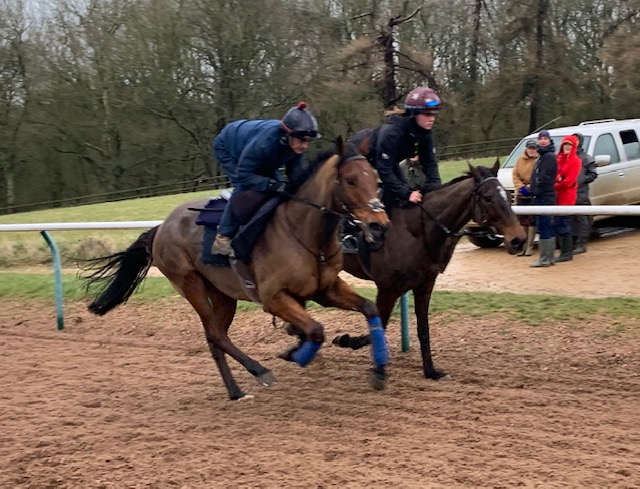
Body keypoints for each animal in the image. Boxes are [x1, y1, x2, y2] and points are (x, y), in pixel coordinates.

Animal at [80, 138, 390, 400]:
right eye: (350, 180)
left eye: (376, 179)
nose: (380, 225)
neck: (305, 232)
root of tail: (161, 227)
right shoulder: (272, 298)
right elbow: (315, 329)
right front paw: (295, 354)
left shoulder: (325, 289)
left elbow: (369, 309)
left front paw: (379, 371)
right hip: (189, 283)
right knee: (216, 334)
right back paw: (259, 372)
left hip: (222, 293)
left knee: (215, 337)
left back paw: (235, 391)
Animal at [328, 162, 524, 380]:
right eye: (488, 197)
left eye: (506, 194)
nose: (518, 240)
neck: (414, 231)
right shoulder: (387, 289)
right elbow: (379, 325)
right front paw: (348, 342)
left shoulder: (424, 285)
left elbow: (423, 329)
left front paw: (430, 370)